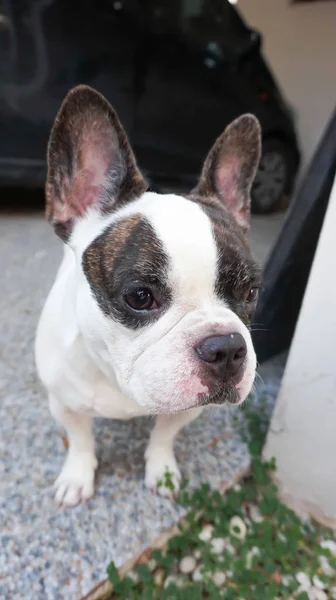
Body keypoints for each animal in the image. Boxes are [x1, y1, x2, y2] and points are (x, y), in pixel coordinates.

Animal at [35, 84, 262, 506]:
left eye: (252, 291)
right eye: (140, 296)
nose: (225, 347)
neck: (113, 375)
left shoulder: (186, 409)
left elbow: (163, 436)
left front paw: (163, 470)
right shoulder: (64, 404)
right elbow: (80, 439)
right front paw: (77, 476)